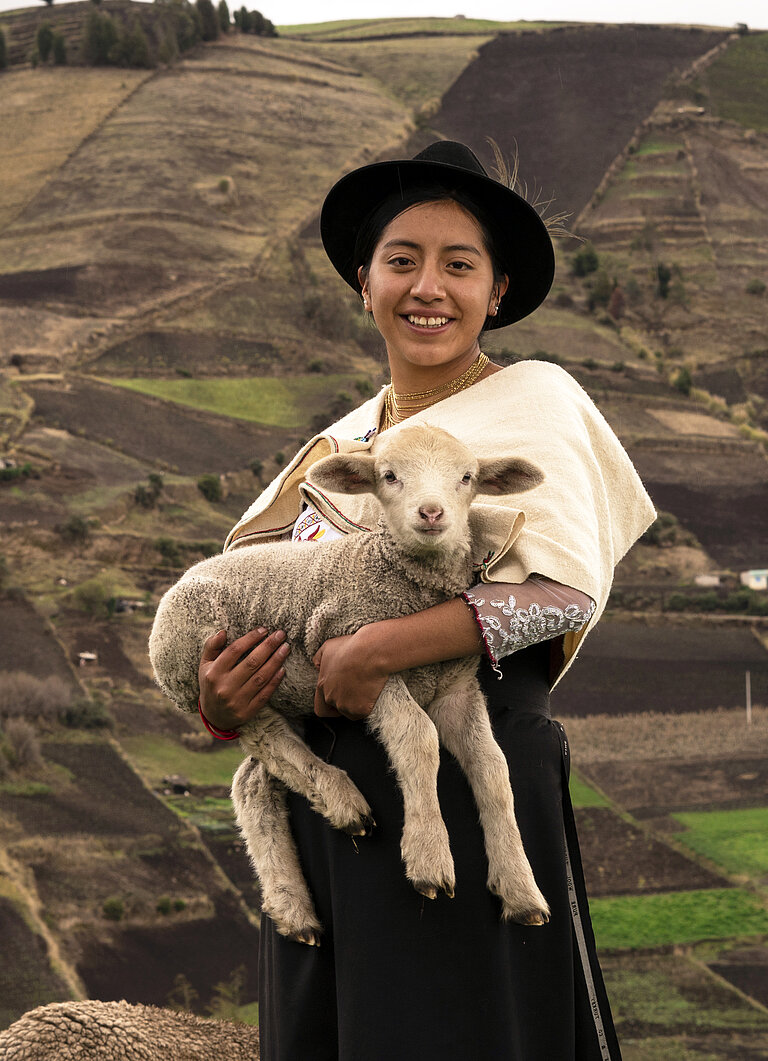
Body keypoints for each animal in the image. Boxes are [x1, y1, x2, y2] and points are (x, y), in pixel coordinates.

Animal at [147, 422, 547, 946]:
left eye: (467, 477)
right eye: (389, 475)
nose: (431, 512)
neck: (401, 580)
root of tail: (185, 577)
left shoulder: (455, 689)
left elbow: (493, 768)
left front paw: (520, 888)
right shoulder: (361, 661)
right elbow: (419, 740)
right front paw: (429, 859)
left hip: (284, 693)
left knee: (254, 783)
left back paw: (293, 907)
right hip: (212, 671)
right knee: (266, 741)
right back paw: (344, 804)